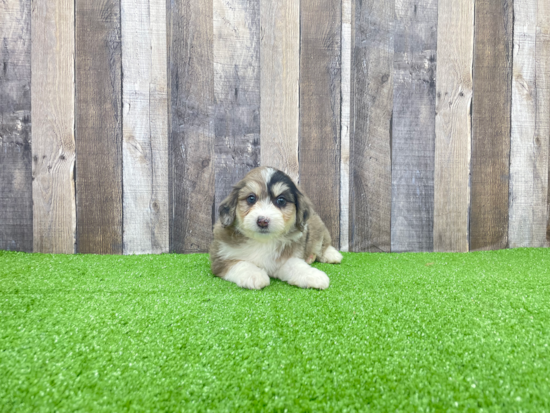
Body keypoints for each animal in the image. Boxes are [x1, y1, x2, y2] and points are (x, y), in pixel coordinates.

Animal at [209, 166, 342, 288]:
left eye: (281, 200)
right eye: (251, 198)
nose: (262, 221)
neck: (263, 241)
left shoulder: (284, 259)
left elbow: (296, 265)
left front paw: (313, 275)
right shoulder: (220, 258)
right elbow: (241, 263)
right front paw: (254, 274)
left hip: (318, 229)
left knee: (323, 244)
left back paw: (331, 255)